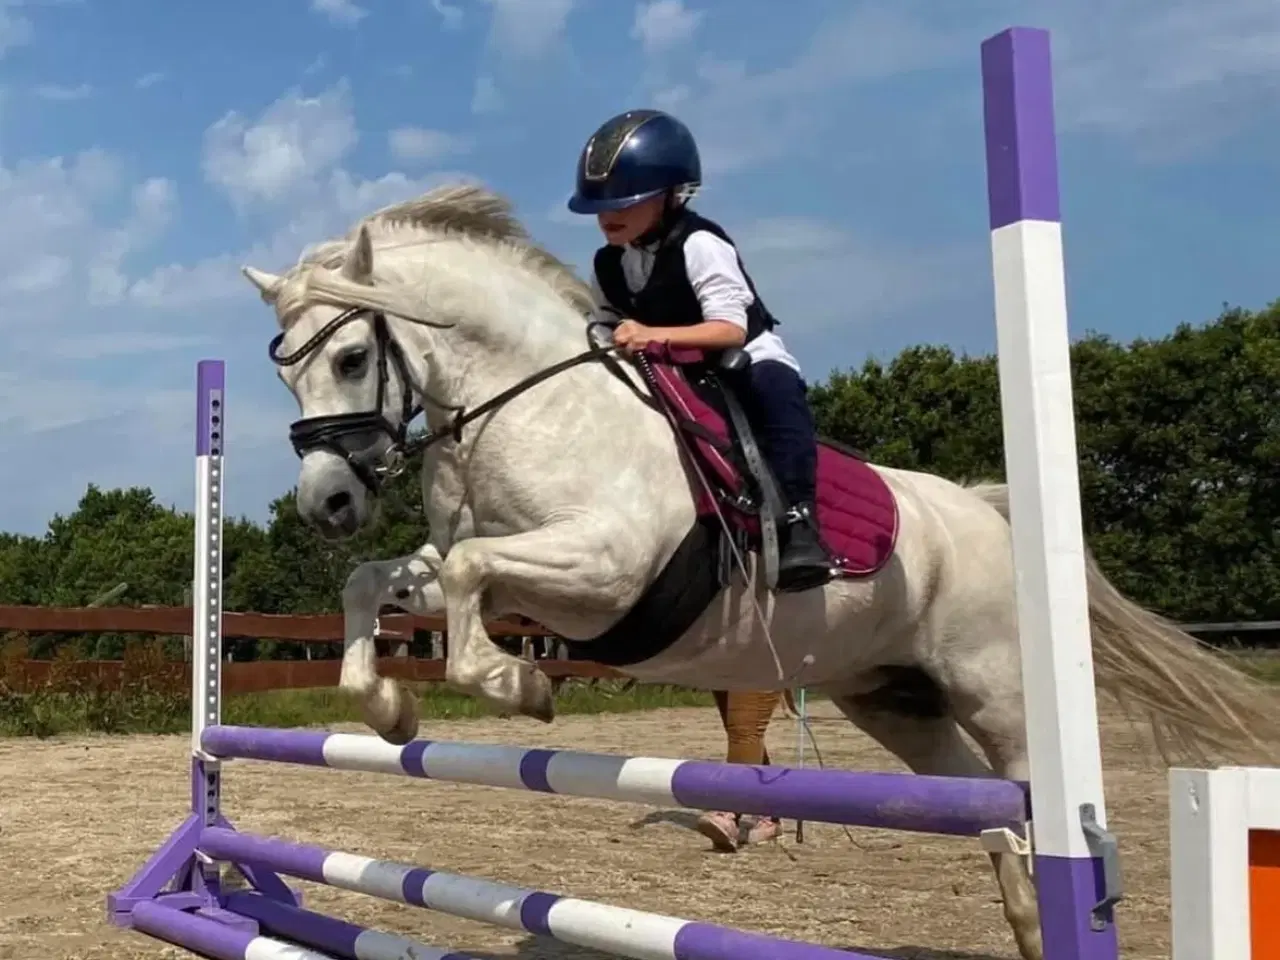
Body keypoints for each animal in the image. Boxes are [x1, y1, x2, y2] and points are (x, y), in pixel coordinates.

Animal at [242, 182, 1278, 960]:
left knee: (1029, 797)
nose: (327, 503)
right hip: (893, 700)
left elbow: (466, 578)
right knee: (988, 817)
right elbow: (379, 583)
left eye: (350, 356)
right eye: (286, 375)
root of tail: (983, 511)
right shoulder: (504, 571)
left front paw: (518, 687)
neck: (522, 401)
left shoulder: (604, 571)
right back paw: (1025, 928)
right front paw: (388, 708)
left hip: (998, 691)